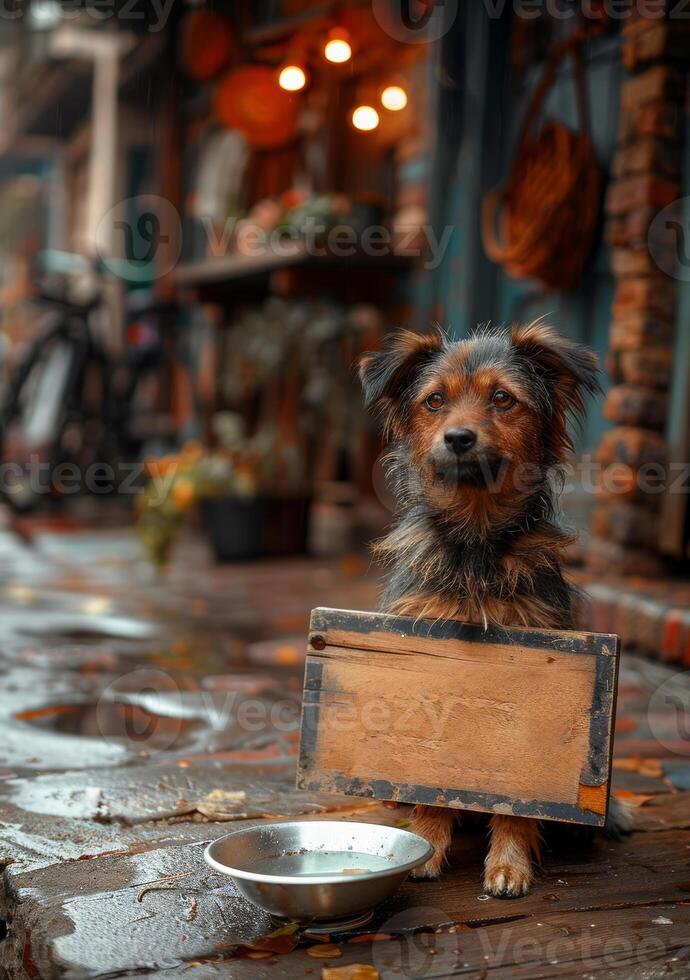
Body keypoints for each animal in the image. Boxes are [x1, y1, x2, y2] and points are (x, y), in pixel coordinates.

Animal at [358, 320, 632, 896]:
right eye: (434, 401)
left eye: (503, 399)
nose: (458, 438)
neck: (478, 544)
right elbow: (432, 783)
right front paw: (427, 845)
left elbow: (516, 802)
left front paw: (509, 863)